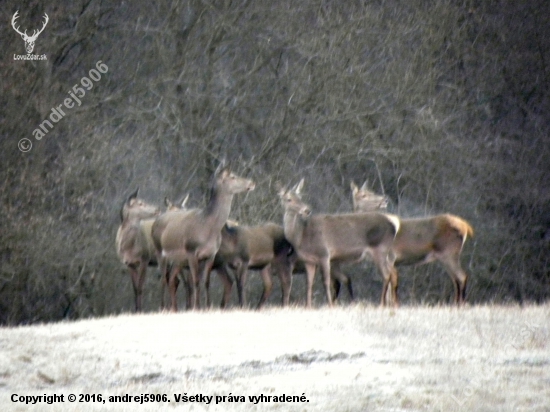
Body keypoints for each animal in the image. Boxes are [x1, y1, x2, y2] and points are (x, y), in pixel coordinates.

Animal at [156, 163, 256, 310]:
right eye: (232, 176)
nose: (252, 182)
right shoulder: (191, 252)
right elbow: (195, 282)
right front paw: (196, 307)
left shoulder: (209, 255)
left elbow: (205, 282)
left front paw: (205, 307)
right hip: (162, 254)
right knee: (165, 279)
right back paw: (164, 307)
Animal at [280, 179, 402, 308]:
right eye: (289, 199)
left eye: (300, 197)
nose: (306, 210)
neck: (301, 236)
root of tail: (394, 225)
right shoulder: (309, 261)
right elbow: (309, 284)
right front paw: (309, 307)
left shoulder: (325, 255)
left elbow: (328, 282)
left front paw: (331, 305)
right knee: (392, 273)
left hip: (380, 249)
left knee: (387, 275)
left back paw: (382, 304)